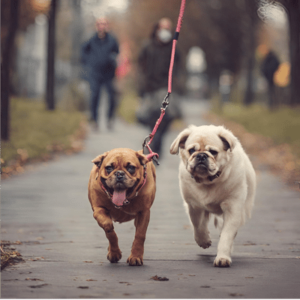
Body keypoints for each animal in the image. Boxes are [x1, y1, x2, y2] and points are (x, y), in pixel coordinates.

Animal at [170, 124, 256, 268]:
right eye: (191, 150)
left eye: (213, 152)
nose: (201, 155)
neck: (208, 181)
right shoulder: (194, 206)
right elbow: (198, 226)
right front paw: (203, 241)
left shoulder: (232, 208)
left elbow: (226, 236)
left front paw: (223, 257)